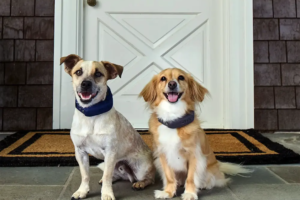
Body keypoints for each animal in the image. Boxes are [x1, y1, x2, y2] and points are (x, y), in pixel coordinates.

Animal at [60, 54, 156, 199]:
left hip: (140, 168)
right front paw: (82, 191)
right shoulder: (80, 152)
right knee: (116, 176)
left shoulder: (110, 152)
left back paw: (140, 183)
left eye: (98, 73)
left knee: (149, 178)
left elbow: (107, 177)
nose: (85, 84)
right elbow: (85, 175)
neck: (91, 115)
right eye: (78, 72)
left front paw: (106, 194)